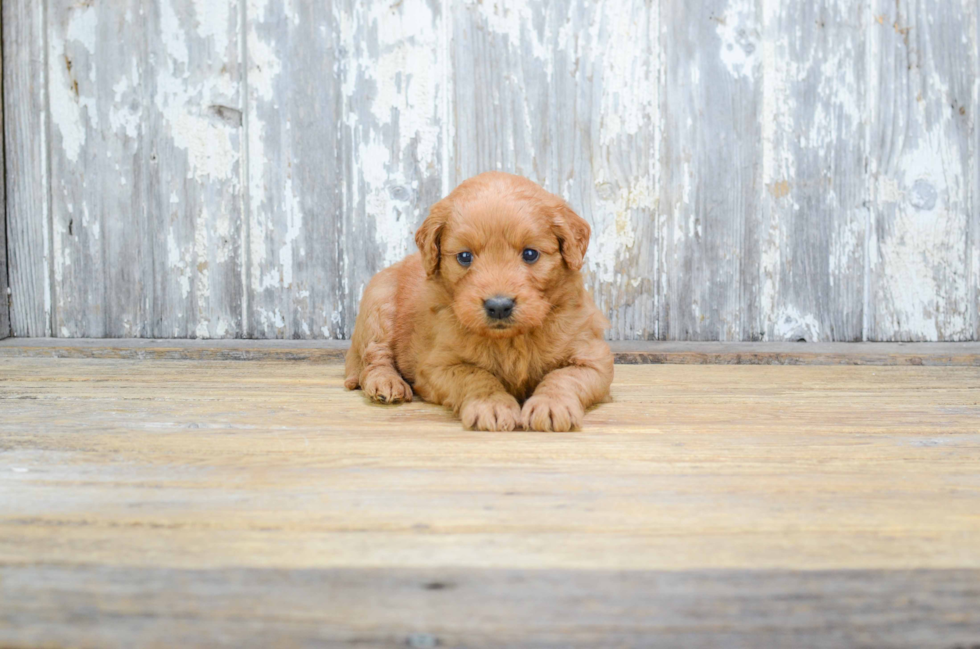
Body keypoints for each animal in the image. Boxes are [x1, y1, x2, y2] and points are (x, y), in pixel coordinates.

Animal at [344, 171, 612, 430]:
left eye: (530, 254)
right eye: (464, 256)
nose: (499, 306)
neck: (511, 340)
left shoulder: (593, 357)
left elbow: (564, 377)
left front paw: (551, 405)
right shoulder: (437, 364)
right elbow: (475, 375)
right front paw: (492, 405)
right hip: (378, 305)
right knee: (374, 358)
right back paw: (387, 383)